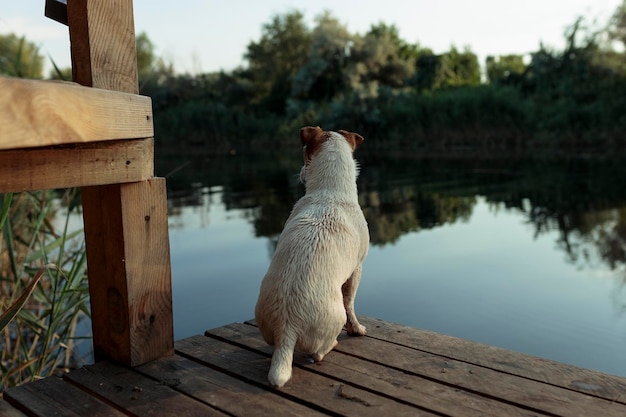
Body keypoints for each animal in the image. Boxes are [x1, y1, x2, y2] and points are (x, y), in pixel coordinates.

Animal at [254, 126, 368, 386]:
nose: (299, 172)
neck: (330, 192)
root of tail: (287, 327)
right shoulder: (357, 270)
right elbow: (350, 304)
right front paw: (356, 329)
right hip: (332, 320)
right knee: (318, 353)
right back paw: (332, 344)